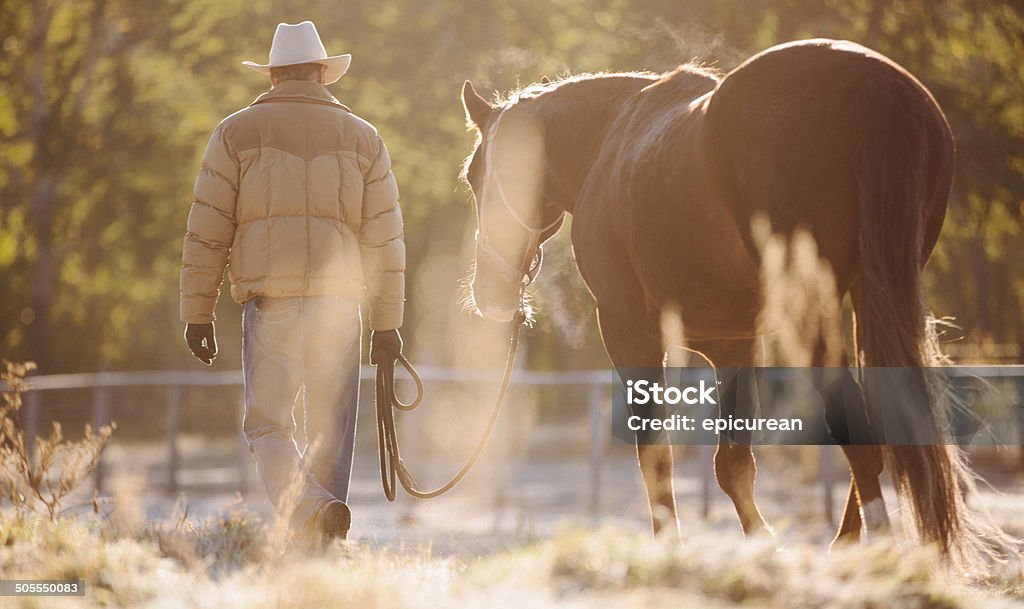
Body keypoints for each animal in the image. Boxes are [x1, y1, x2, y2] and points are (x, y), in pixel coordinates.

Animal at [460, 39, 1003, 569]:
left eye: (476, 173)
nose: (491, 291)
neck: (610, 142)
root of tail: (872, 82)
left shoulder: (628, 330)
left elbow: (655, 452)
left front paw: (670, 552)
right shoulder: (734, 344)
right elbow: (733, 466)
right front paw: (763, 544)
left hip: (813, 311)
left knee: (857, 430)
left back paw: (876, 550)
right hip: (872, 294)